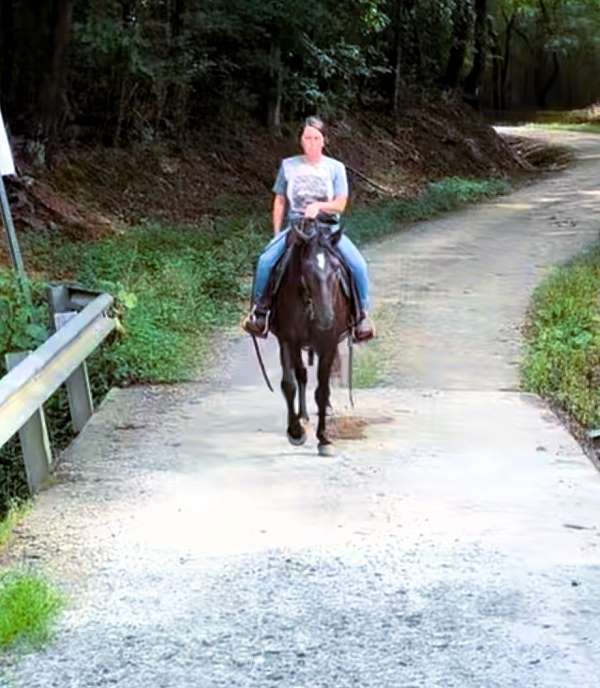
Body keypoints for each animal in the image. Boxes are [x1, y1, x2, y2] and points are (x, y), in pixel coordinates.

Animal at [270, 219, 352, 456]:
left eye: (336, 268)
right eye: (306, 269)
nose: (326, 318)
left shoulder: (329, 344)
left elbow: (322, 390)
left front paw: (324, 438)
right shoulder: (288, 340)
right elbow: (289, 383)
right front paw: (296, 431)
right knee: (301, 376)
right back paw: (303, 416)